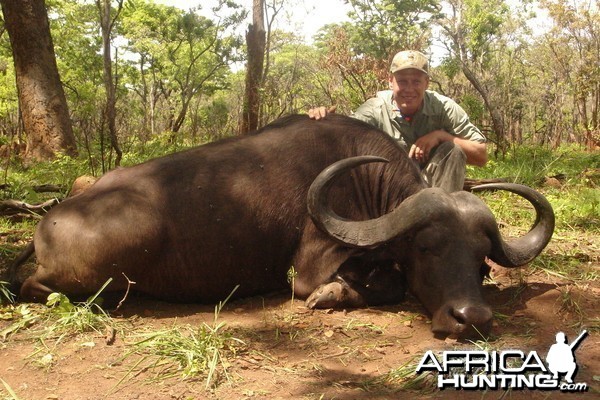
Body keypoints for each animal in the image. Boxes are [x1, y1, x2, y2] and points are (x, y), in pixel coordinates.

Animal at [9, 113, 552, 338]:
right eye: (427, 249)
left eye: (480, 263)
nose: (471, 319)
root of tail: (49, 221)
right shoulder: (310, 269)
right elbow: (384, 285)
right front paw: (334, 296)